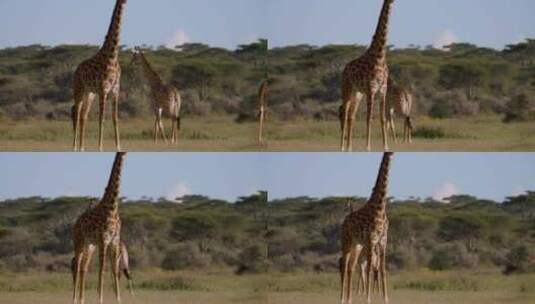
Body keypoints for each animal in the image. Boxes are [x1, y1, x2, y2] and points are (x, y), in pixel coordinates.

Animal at [71, 0, 127, 152]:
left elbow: (115, 118)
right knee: (76, 113)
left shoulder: (115, 91)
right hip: (78, 90)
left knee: (84, 116)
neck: (112, 56)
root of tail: (76, 69)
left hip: (89, 94)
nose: (125, 1)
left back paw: (82, 147)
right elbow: (102, 118)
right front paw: (100, 147)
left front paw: (118, 146)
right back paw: (74, 147)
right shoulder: (103, 90)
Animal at [71, 152, 127, 304]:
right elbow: (102, 270)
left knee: (83, 267)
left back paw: (82, 299)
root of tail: (76, 222)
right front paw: (100, 298)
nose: (124, 152)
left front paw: (118, 299)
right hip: (78, 242)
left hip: (90, 245)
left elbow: (114, 271)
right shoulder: (103, 240)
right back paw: (74, 299)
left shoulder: (114, 241)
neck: (112, 208)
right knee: (76, 266)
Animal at [340, 152, 394, 304]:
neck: (380, 208)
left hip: (356, 245)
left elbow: (382, 269)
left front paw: (386, 298)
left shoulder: (383, 241)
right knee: (344, 266)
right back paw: (342, 299)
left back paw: (349, 299)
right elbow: (369, 270)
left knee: (351, 267)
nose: (391, 153)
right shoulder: (371, 240)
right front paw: (368, 298)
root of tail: (344, 222)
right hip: (346, 242)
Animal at [342, 0, 396, 152]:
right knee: (344, 113)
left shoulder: (383, 90)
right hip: (347, 89)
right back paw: (342, 147)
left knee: (352, 116)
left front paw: (386, 146)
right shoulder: (371, 89)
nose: (393, 1)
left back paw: (349, 147)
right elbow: (369, 117)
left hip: (358, 93)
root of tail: (344, 69)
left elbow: (383, 119)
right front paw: (367, 147)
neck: (380, 56)